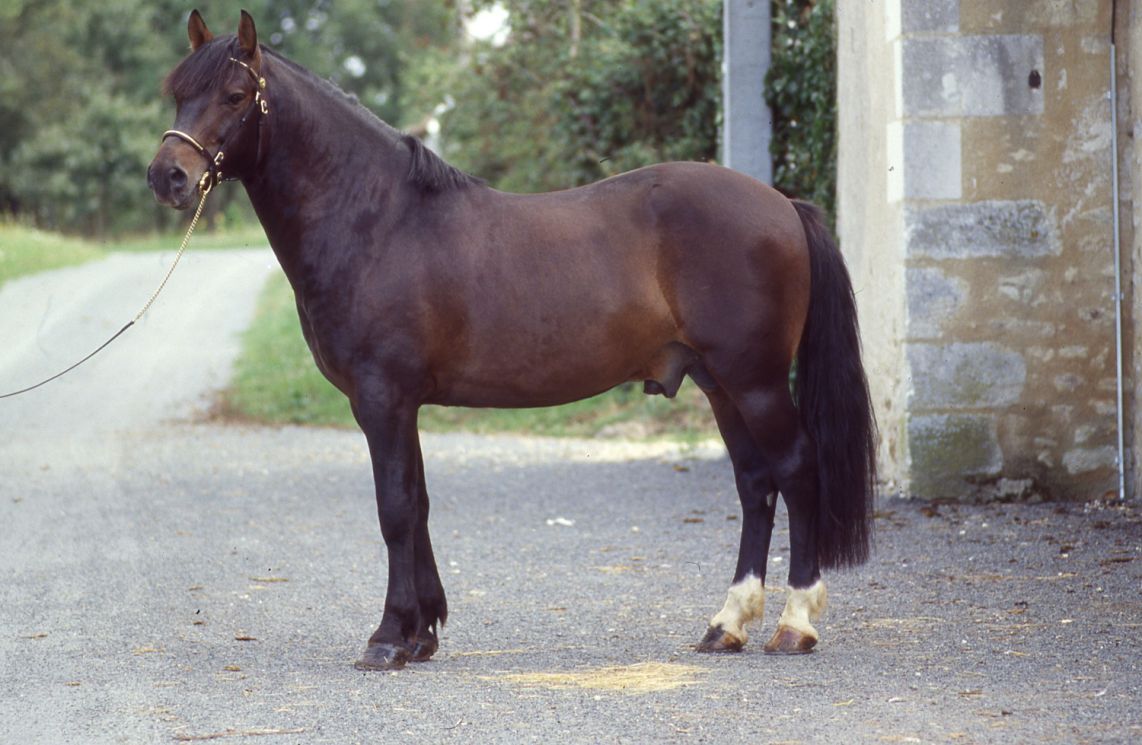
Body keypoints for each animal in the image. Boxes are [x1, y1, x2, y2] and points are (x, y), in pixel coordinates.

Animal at [147, 10, 877, 670]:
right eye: (177, 90)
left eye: (234, 96)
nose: (168, 176)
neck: (378, 221)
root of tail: (782, 204)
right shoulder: (404, 404)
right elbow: (418, 505)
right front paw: (421, 633)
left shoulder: (382, 399)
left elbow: (395, 510)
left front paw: (387, 639)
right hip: (718, 383)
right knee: (754, 484)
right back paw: (726, 624)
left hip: (755, 381)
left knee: (796, 470)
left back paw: (795, 623)